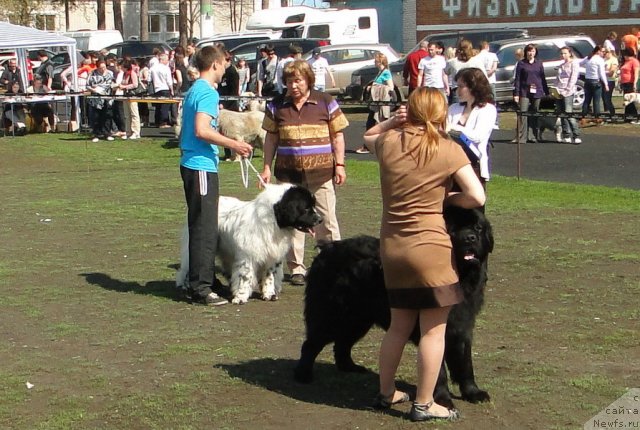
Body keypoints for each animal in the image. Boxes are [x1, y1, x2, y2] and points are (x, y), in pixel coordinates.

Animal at [175, 183, 322, 304]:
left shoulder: (271, 256)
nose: (320, 220)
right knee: (187, 266)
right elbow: (245, 276)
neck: (273, 220)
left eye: (313, 206)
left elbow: (269, 276)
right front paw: (240, 297)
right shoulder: (248, 255)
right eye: (306, 208)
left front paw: (269, 294)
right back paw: (186, 286)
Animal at [296, 207, 496, 408]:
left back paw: (350, 367)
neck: (460, 277)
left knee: (342, 343)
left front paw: (473, 392)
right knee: (310, 344)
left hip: (358, 319)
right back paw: (303, 375)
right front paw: (443, 400)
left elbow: (465, 362)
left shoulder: (462, 325)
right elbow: (438, 370)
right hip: (332, 316)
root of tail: (326, 250)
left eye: (478, 228)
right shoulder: (430, 328)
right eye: (452, 229)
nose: (469, 238)